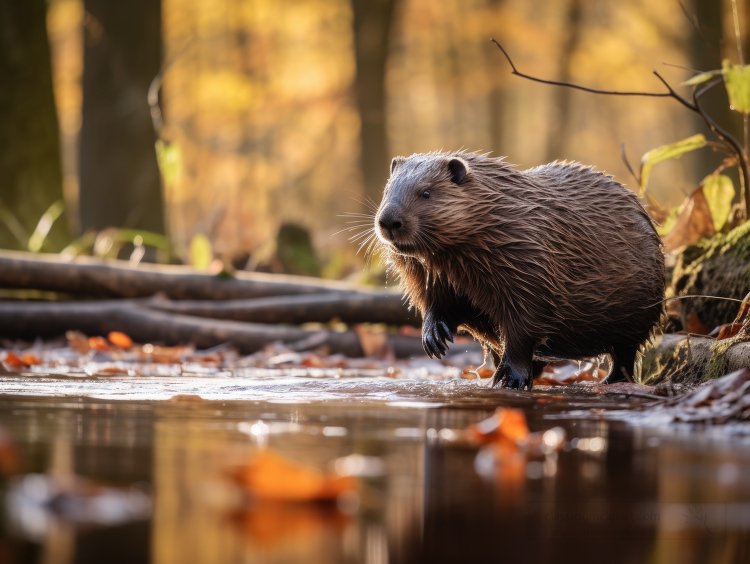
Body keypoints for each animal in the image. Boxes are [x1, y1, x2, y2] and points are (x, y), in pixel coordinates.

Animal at [374, 150, 668, 390]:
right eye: (387, 191)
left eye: (425, 193)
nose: (388, 221)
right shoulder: (437, 277)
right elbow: (440, 304)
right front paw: (434, 338)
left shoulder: (530, 262)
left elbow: (524, 324)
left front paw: (512, 379)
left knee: (625, 353)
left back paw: (610, 380)